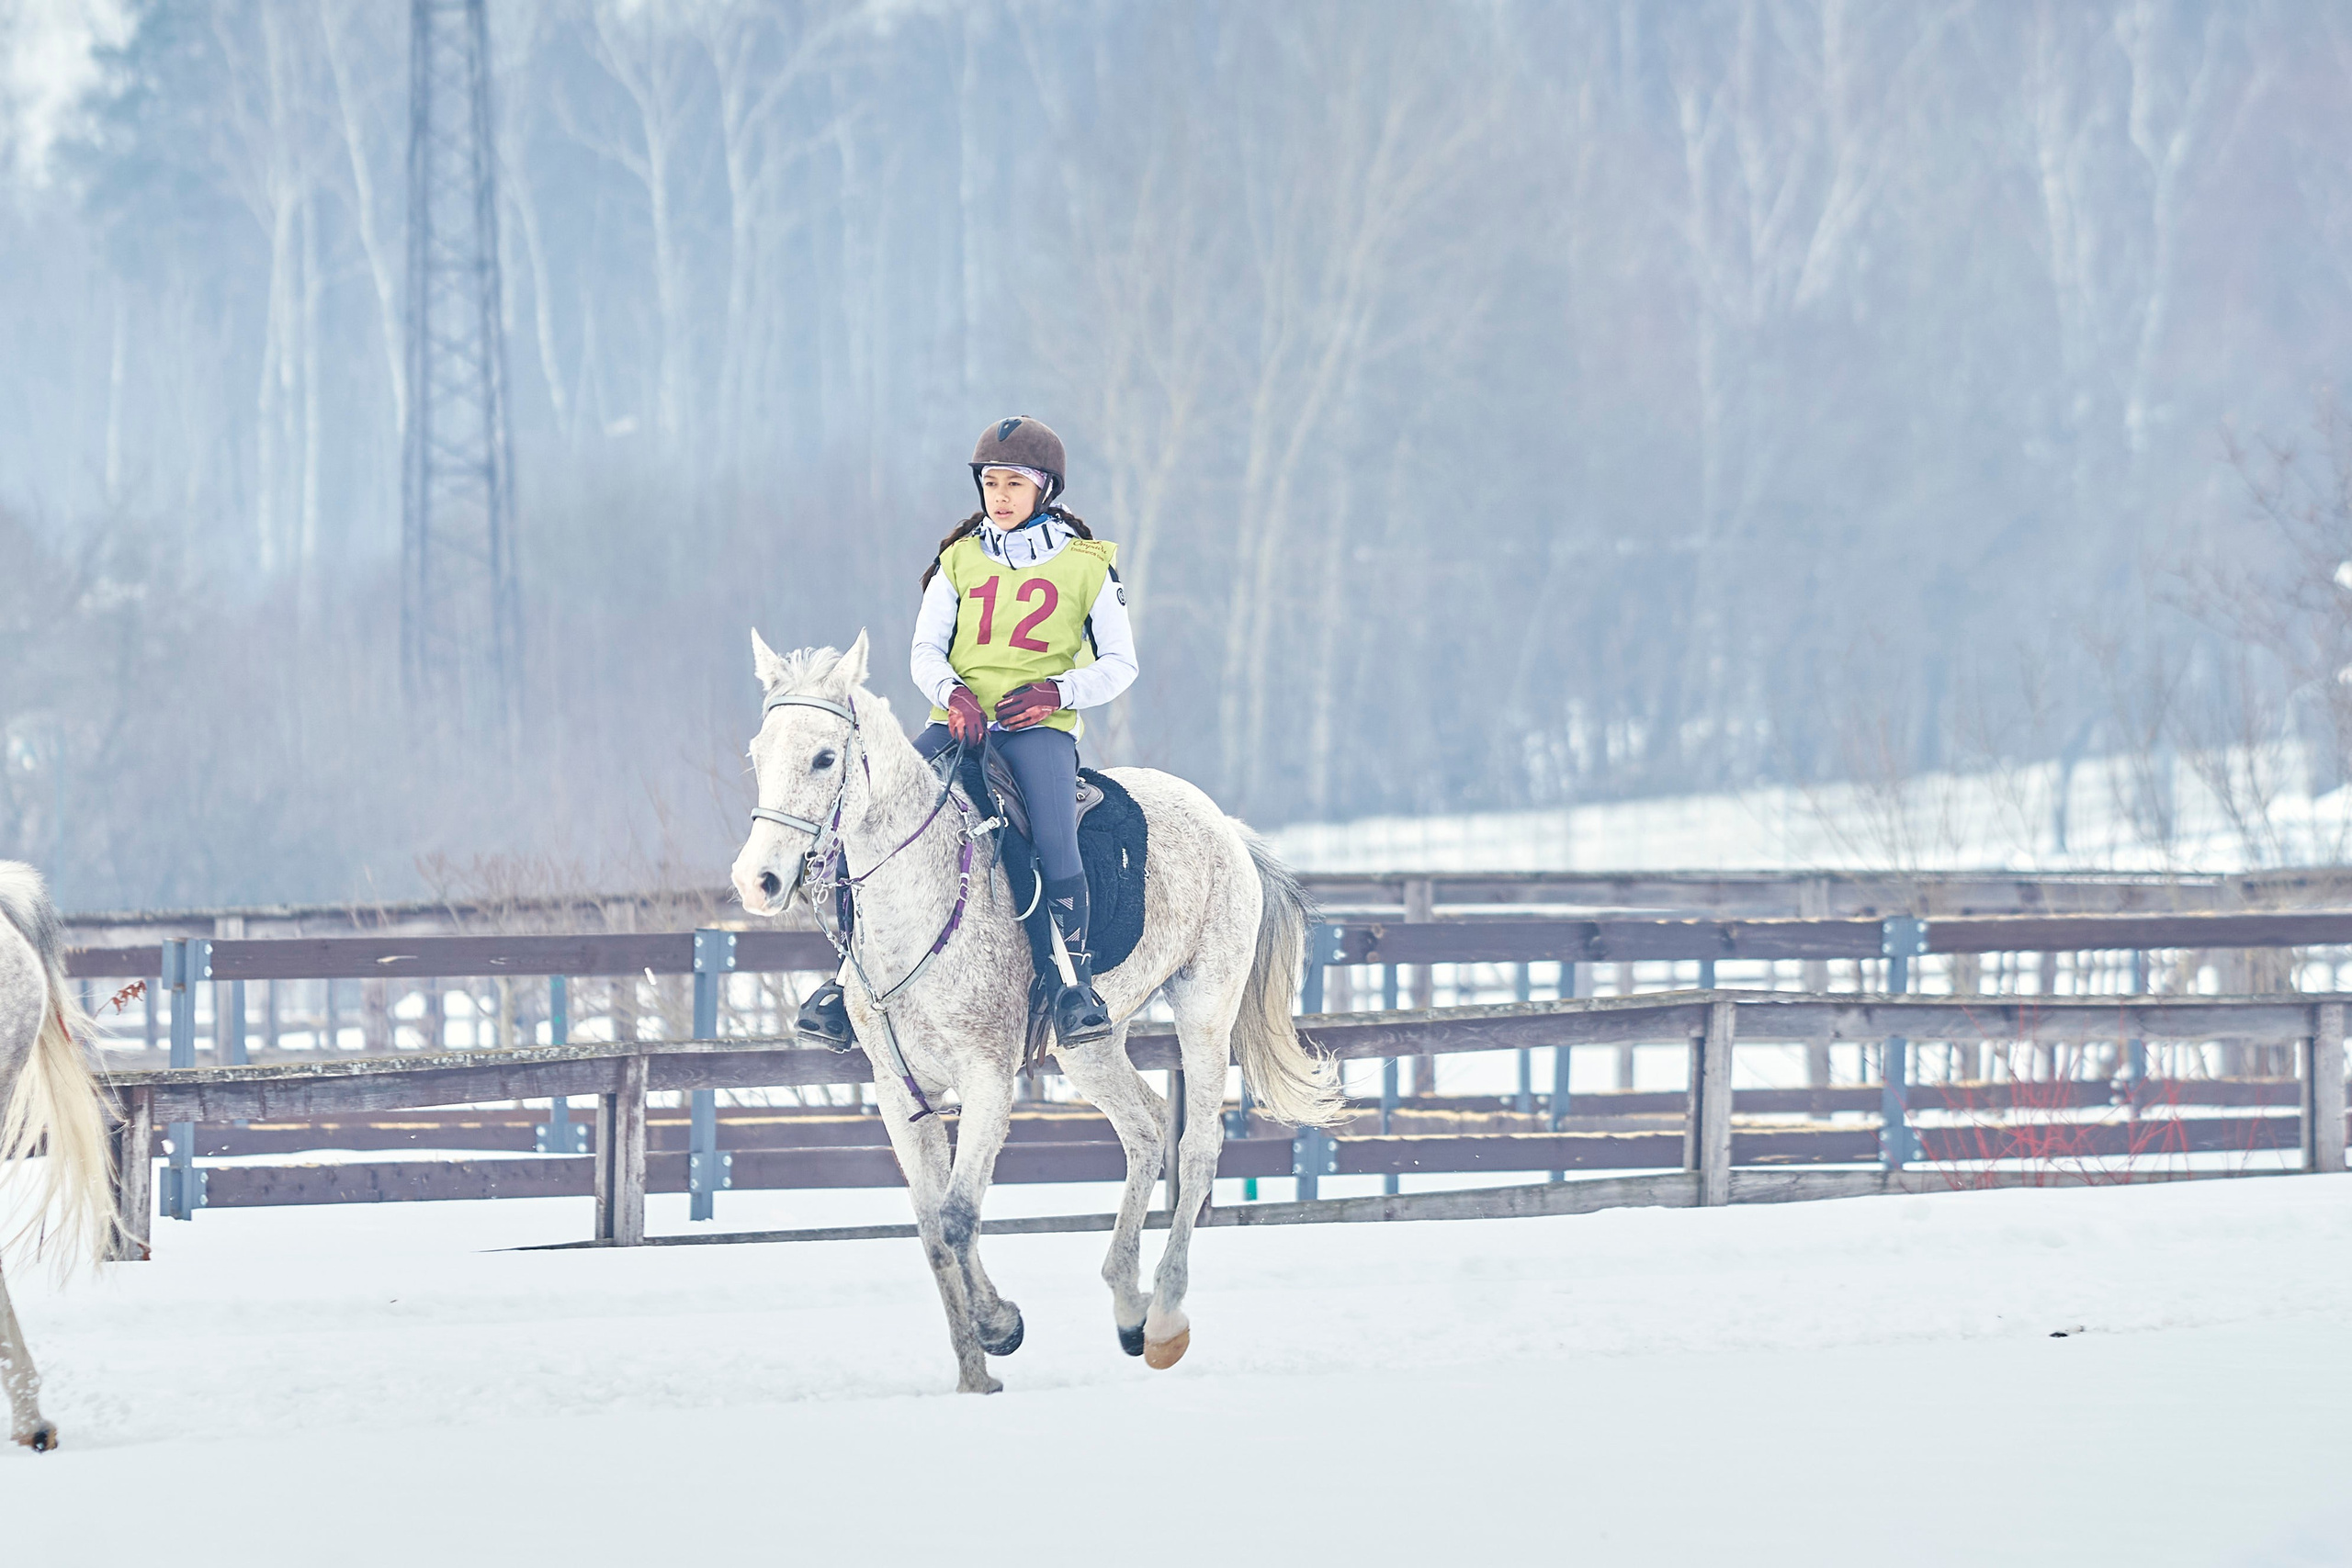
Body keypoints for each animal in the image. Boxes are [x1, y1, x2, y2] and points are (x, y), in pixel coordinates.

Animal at [729, 630, 1344, 1391]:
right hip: (1091, 1043)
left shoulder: (988, 1078)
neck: (920, 898)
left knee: (1197, 1148)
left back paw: (1165, 1316)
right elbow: (932, 1231)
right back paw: (1128, 1303)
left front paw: (1001, 1325)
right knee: (1145, 1130)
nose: (757, 880)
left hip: (1206, 1006)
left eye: (823, 757)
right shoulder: (901, 1090)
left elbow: (958, 1214)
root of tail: (1223, 825)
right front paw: (975, 1377)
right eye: (759, 751)